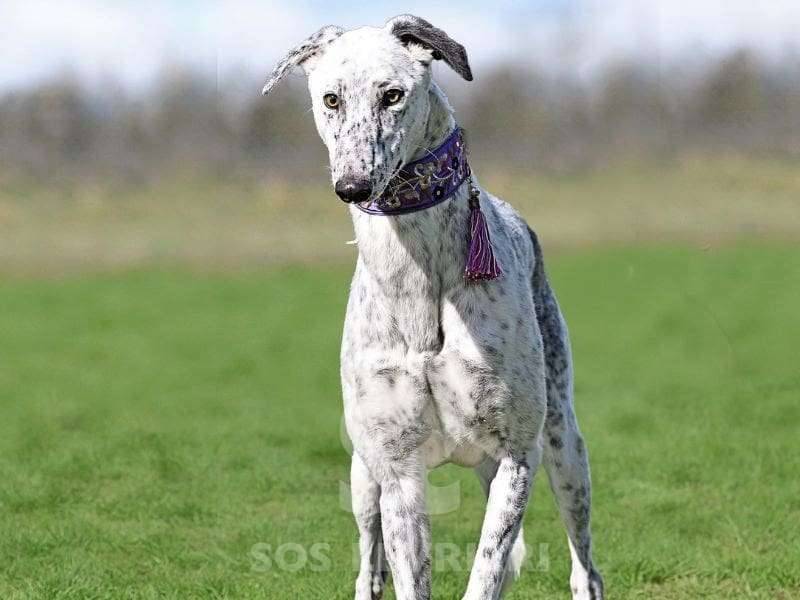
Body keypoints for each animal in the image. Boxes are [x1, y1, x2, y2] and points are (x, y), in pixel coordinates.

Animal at [263, 15, 604, 600]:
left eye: (392, 94)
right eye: (331, 98)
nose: (352, 186)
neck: (419, 284)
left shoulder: (517, 456)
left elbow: (488, 567)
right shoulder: (398, 471)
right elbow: (408, 569)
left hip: (564, 450)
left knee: (582, 562)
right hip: (362, 476)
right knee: (369, 561)